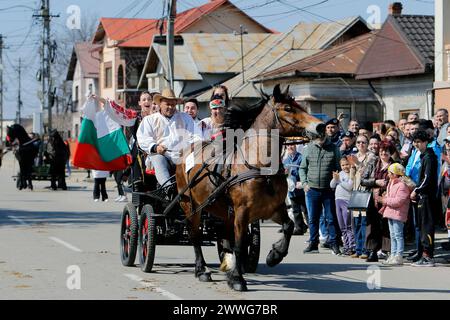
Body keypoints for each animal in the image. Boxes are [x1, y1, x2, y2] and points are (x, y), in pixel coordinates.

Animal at [175, 84, 324, 290]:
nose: (321, 126)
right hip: (190, 206)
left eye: (299, 105)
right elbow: (239, 244)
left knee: (224, 234)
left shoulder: (273, 208)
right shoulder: (242, 211)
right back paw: (201, 270)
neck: (260, 166)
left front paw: (274, 255)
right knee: (195, 235)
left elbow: (289, 225)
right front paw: (237, 279)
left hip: (222, 210)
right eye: (288, 108)